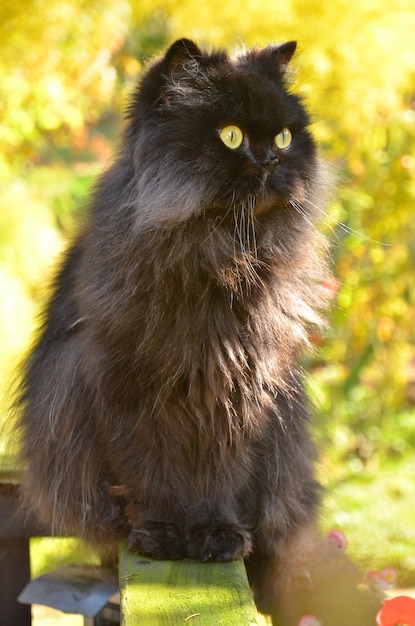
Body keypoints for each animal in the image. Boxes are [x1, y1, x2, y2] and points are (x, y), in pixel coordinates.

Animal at [17, 40, 382, 624]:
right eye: (230, 136)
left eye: (285, 137)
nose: (272, 160)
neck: (221, 255)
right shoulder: (128, 392)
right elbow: (152, 478)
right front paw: (162, 536)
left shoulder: (241, 396)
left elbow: (218, 482)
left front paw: (216, 537)